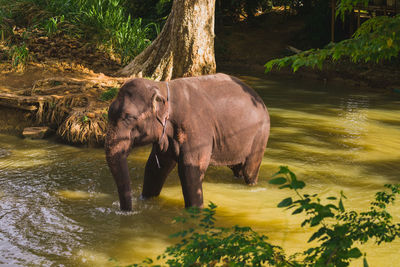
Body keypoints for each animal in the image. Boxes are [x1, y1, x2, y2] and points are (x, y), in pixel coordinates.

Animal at [104, 73, 270, 211]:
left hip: (260, 135)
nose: (127, 211)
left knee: (250, 170)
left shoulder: (196, 129)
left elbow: (190, 169)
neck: (162, 87)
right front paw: (146, 200)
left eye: (128, 117)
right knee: (238, 169)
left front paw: (195, 211)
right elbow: (155, 167)